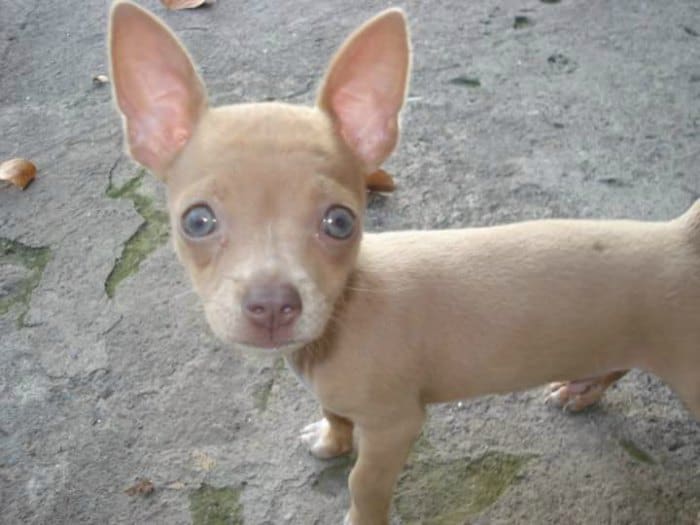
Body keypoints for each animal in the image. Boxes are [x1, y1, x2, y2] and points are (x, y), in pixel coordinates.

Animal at [108, 2, 700, 520]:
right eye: (197, 222)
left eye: (340, 222)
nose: (273, 305)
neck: (340, 321)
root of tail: (680, 237)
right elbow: (335, 413)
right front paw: (331, 438)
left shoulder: (395, 427)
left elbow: (365, 484)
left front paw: (359, 513)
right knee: (615, 360)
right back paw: (581, 389)